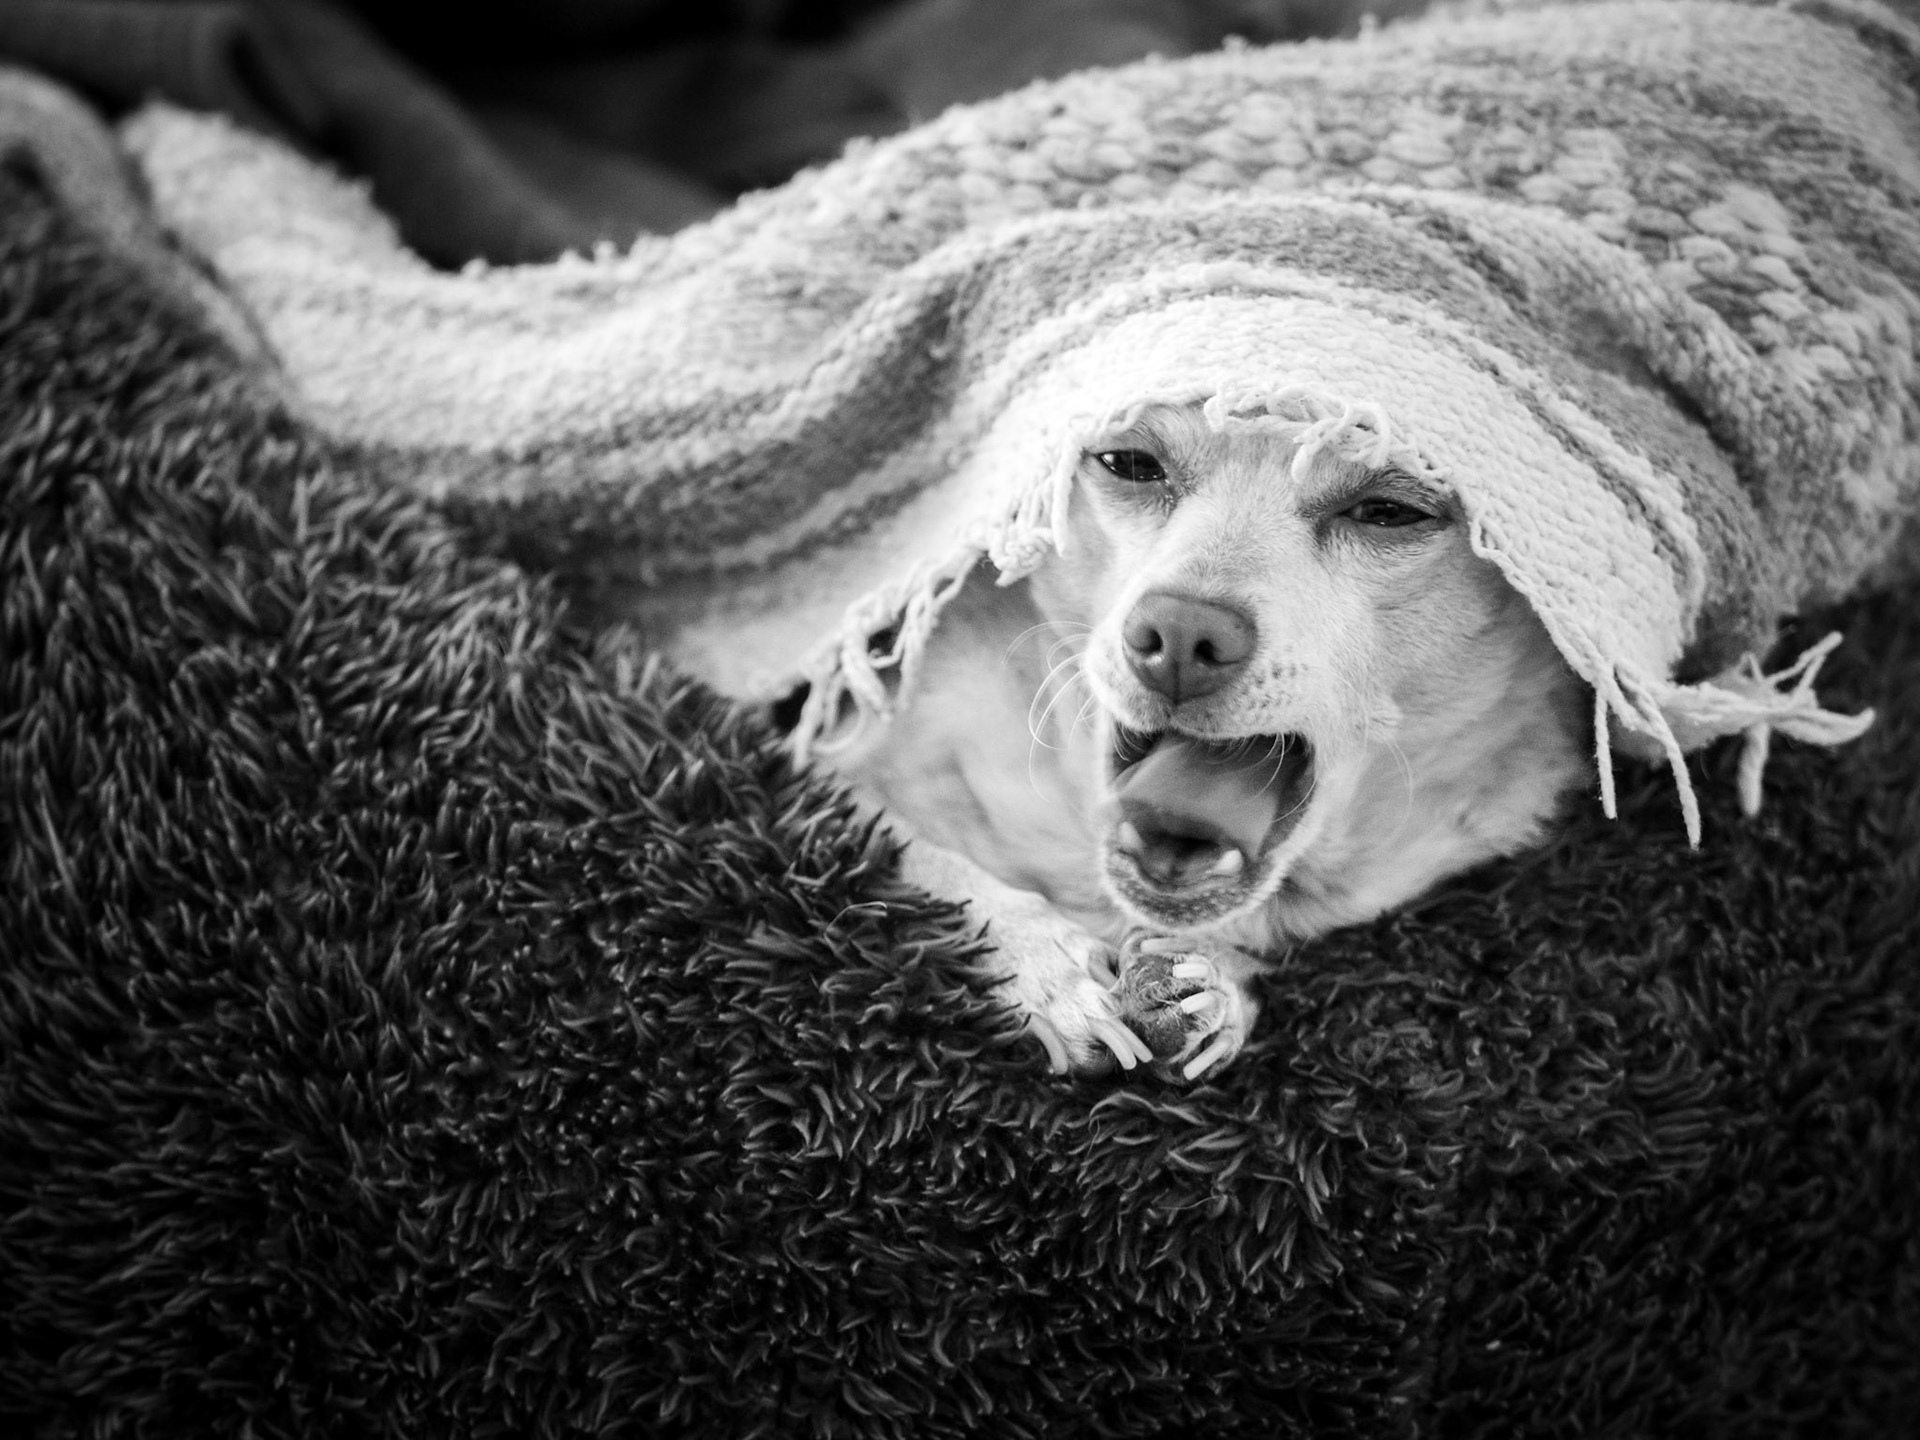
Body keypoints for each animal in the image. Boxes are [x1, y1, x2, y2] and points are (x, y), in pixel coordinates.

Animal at [820, 401, 1592, 1079]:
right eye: (1130, 464)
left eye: (1388, 512)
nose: (1184, 631)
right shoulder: (833, 770)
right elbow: (927, 859)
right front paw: (1047, 971)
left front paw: (1215, 982)